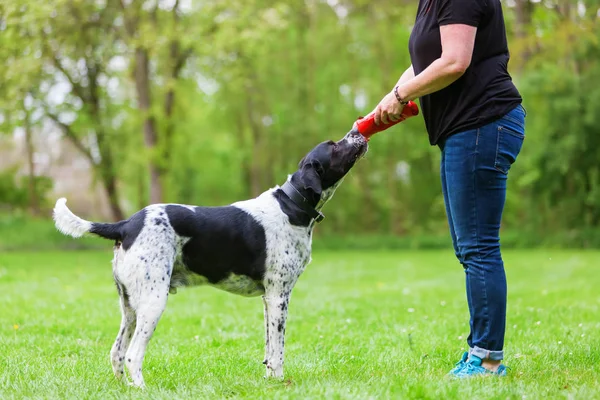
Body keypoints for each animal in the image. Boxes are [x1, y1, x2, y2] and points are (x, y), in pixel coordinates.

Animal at [54, 130, 368, 386]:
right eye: (333, 145)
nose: (357, 132)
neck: (291, 205)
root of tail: (126, 224)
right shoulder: (279, 296)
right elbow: (278, 351)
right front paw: (279, 382)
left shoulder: (268, 299)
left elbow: (269, 349)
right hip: (153, 302)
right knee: (132, 356)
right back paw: (142, 389)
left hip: (130, 307)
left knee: (117, 353)